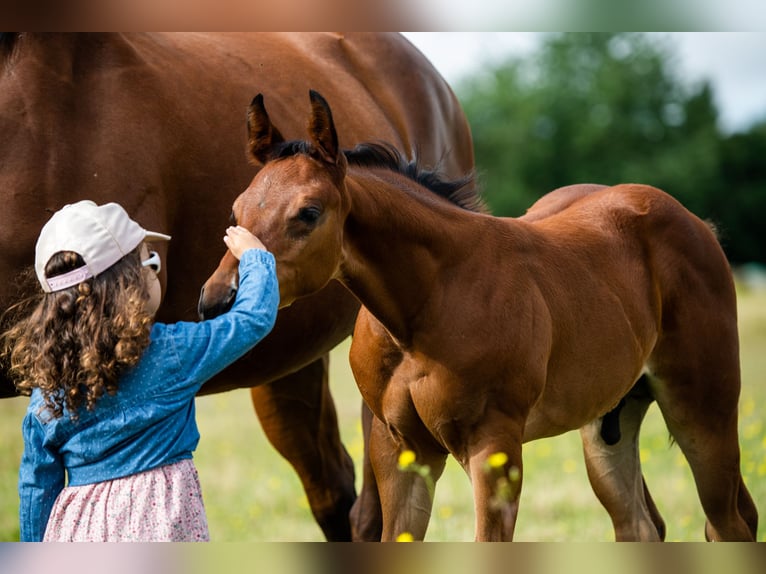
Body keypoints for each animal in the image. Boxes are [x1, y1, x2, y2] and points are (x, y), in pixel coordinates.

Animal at [200, 91, 760, 544]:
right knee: (640, 525)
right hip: (610, 421)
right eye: (235, 211)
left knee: (730, 522)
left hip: (702, 408)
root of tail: (695, 222)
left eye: (309, 213)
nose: (217, 301)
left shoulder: (494, 448)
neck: (424, 308)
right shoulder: (399, 450)